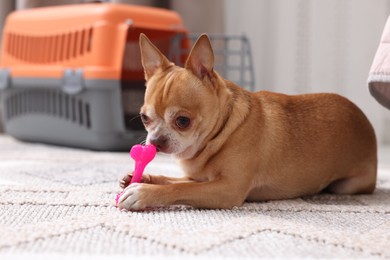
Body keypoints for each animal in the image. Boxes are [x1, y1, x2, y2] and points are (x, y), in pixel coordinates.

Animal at [117, 33, 376, 210]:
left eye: (183, 121)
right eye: (145, 119)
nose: (155, 141)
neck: (220, 134)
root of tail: (362, 117)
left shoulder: (227, 189)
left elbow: (180, 187)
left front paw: (142, 192)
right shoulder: (200, 178)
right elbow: (172, 180)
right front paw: (141, 178)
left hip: (349, 184)